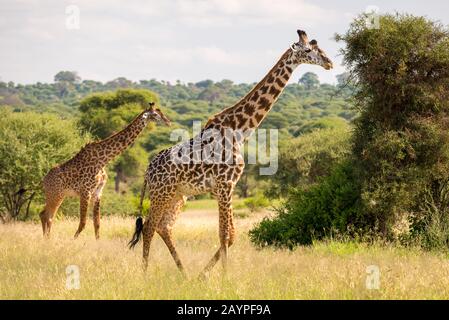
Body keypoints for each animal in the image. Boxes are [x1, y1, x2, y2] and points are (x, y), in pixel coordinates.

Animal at [39, 101, 170, 239]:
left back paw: (46, 239)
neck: (103, 160)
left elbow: (97, 223)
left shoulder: (98, 192)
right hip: (55, 195)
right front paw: (73, 240)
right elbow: (83, 222)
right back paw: (47, 239)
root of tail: (44, 179)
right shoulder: (86, 191)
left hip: (59, 195)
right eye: (155, 114)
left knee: (44, 215)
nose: (168, 121)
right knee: (48, 216)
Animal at [128, 29, 330, 278]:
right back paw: (145, 275)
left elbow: (231, 235)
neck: (240, 129)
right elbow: (224, 234)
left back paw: (185, 275)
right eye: (309, 50)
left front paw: (204, 276)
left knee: (163, 226)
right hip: (161, 193)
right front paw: (225, 278)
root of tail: (147, 171)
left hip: (178, 195)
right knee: (148, 227)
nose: (329, 63)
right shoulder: (226, 185)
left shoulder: (226, 187)